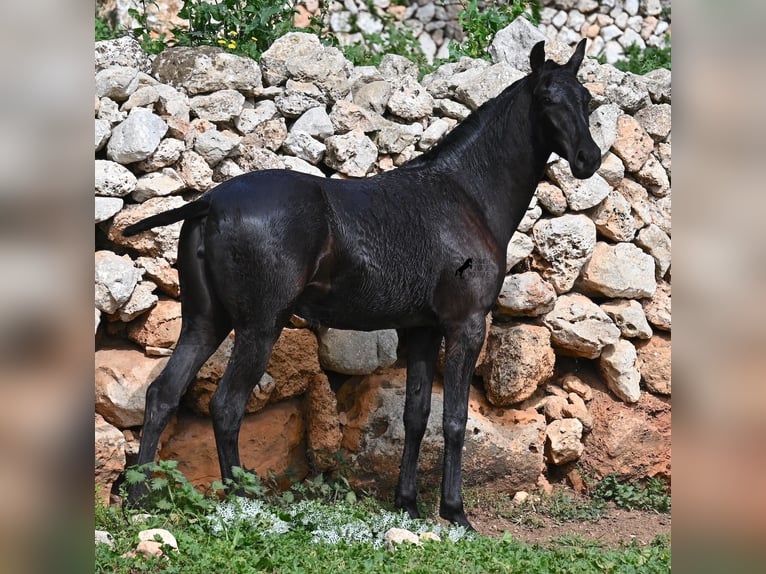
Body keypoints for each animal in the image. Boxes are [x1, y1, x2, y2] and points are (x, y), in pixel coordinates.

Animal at [121, 39, 600, 532]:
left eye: (586, 100)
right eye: (546, 98)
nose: (590, 159)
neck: (465, 195)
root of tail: (210, 201)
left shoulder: (423, 330)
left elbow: (416, 415)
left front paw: (407, 504)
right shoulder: (465, 326)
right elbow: (454, 419)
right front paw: (454, 512)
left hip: (205, 322)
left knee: (163, 395)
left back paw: (139, 498)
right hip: (259, 326)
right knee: (226, 406)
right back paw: (241, 504)